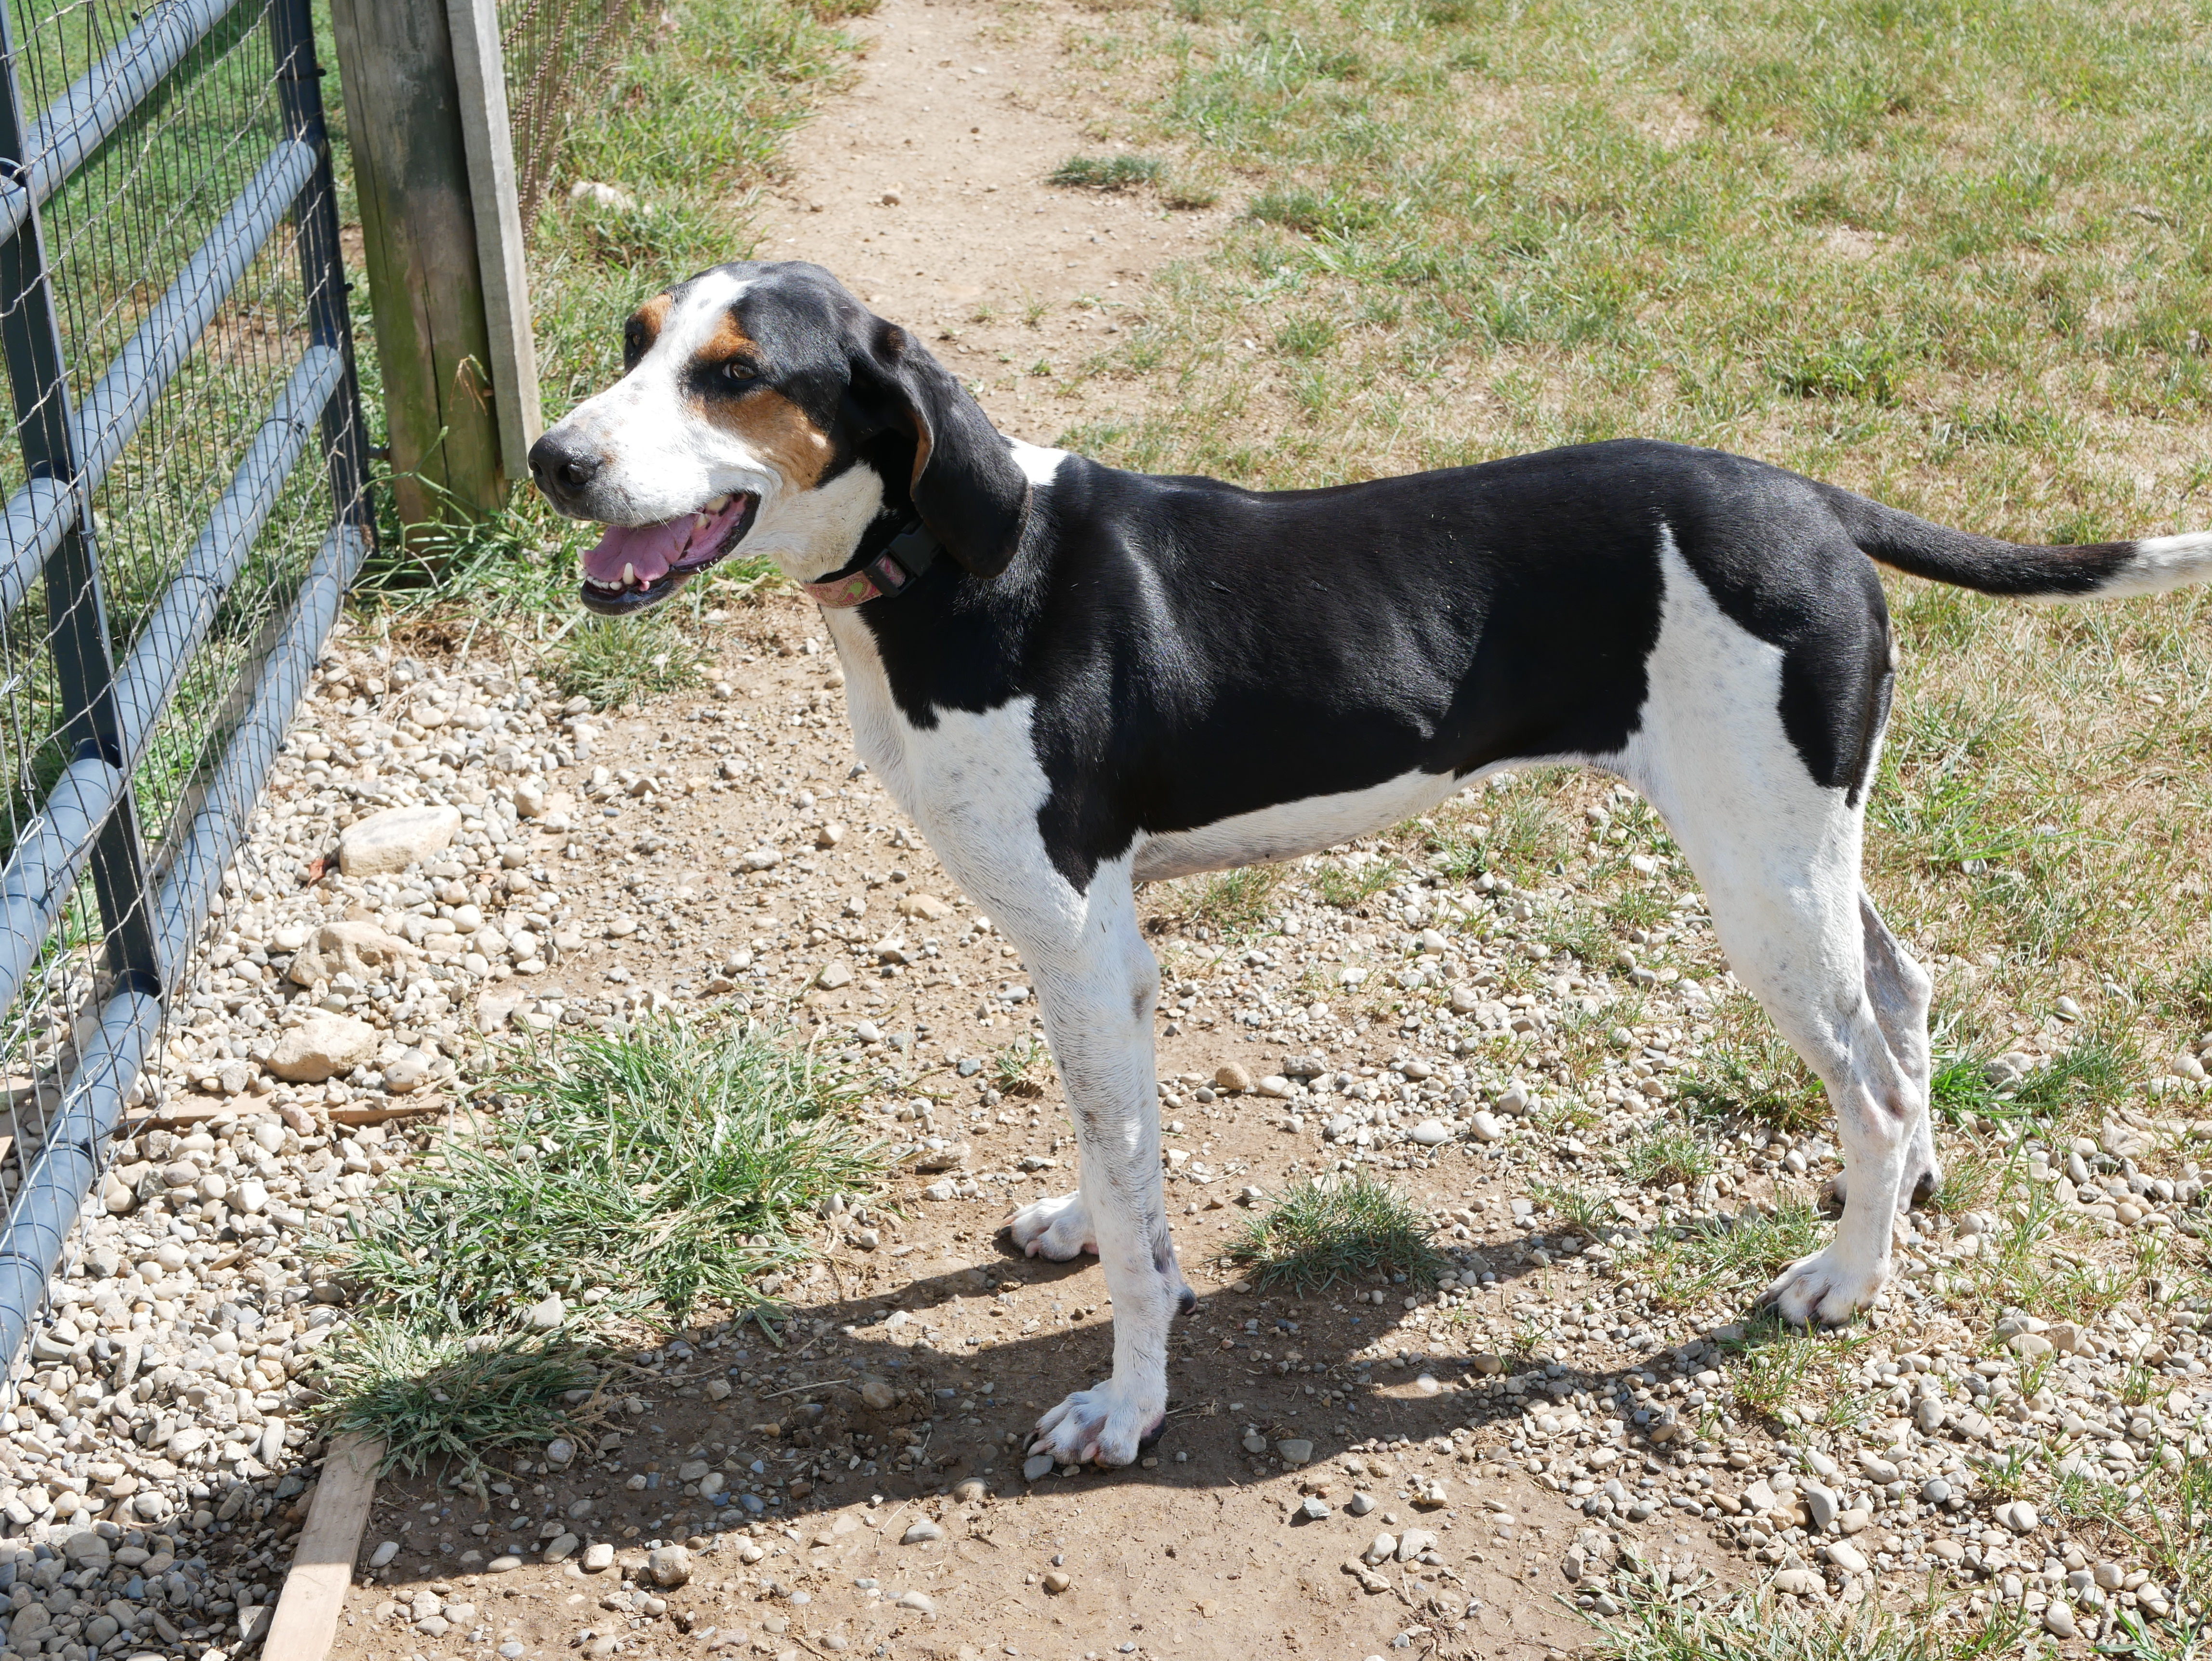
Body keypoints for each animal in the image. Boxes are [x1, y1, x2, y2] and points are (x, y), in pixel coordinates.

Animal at [531, 260, 2212, 1468]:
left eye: (736, 374)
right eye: (634, 340)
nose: (552, 459)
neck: (954, 560)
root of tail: (1812, 501)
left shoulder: (1084, 941)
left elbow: (1138, 1221)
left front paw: (1125, 1408)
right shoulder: (1095, 952)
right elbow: (1115, 1157)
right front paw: (1079, 1224)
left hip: (1757, 881)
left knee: (1865, 1078)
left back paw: (1846, 1279)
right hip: (1800, 845)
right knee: (1907, 1000)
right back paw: (1906, 1196)